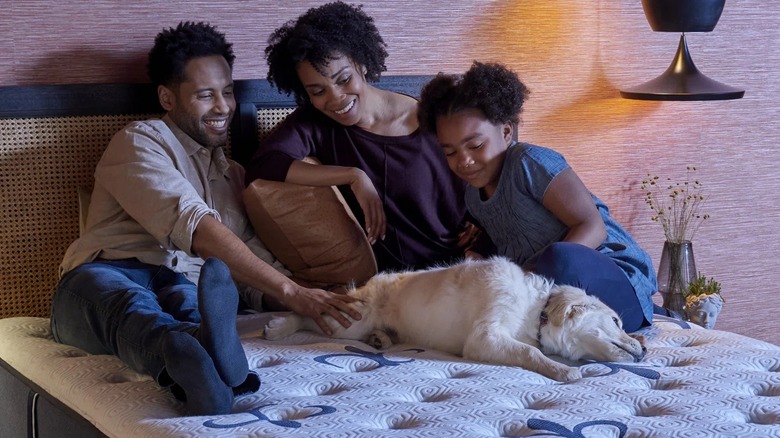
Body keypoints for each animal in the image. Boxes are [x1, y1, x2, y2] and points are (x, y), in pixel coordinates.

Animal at [264, 255, 644, 382]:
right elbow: (530, 351)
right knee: (309, 314)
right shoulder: (485, 337)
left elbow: (529, 348)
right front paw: (562, 370)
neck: (533, 309)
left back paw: (381, 339)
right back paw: (280, 326)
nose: (642, 351)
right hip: (352, 319)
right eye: (616, 321)